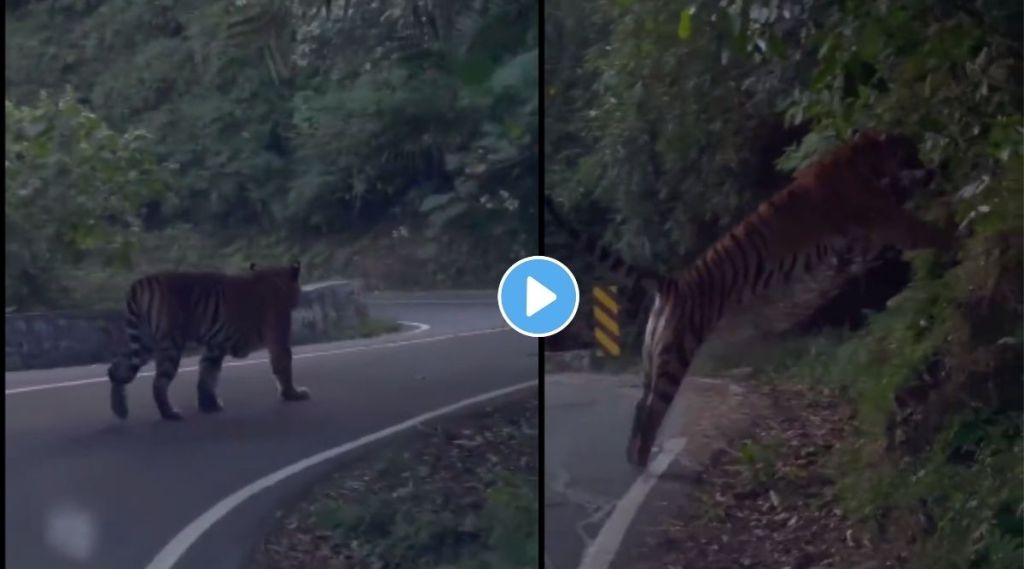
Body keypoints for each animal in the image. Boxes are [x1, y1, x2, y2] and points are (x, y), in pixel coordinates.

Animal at [107, 260, 311, 417]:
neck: (276, 281)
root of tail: (140, 283)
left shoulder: (215, 346)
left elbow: (207, 374)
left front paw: (208, 405)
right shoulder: (279, 338)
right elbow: (284, 367)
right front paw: (293, 394)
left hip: (144, 343)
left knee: (116, 369)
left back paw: (120, 409)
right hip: (169, 346)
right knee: (158, 383)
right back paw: (169, 413)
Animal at [548, 129, 954, 466]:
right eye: (909, 150)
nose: (928, 163)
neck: (859, 160)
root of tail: (671, 284)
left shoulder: (861, 243)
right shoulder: (885, 218)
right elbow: (925, 230)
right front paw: (955, 233)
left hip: (652, 357)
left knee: (639, 405)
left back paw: (636, 458)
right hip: (674, 356)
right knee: (651, 409)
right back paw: (645, 463)